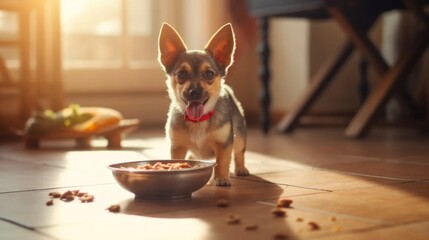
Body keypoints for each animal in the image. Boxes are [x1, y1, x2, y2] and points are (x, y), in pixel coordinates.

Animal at [158, 22, 249, 187]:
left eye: (209, 74)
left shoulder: (224, 143)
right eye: (181, 74)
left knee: (239, 153)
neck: (198, 121)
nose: (194, 92)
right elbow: (176, 160)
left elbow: (222, 162)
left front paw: (221, 178)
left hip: (239, 136)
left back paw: (241, 169)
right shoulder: (178, 146)